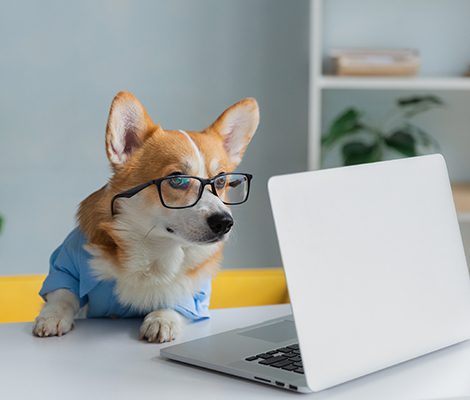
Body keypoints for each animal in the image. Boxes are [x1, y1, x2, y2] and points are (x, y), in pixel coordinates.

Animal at [32, 92, 260, 342]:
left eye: (221, 181)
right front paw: (52, 316)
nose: (224, 223)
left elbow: (178, 299)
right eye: (177, 179)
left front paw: (162, 319)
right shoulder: (65, 267)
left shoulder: (195, 293)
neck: (154, 247)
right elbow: (63, 294)